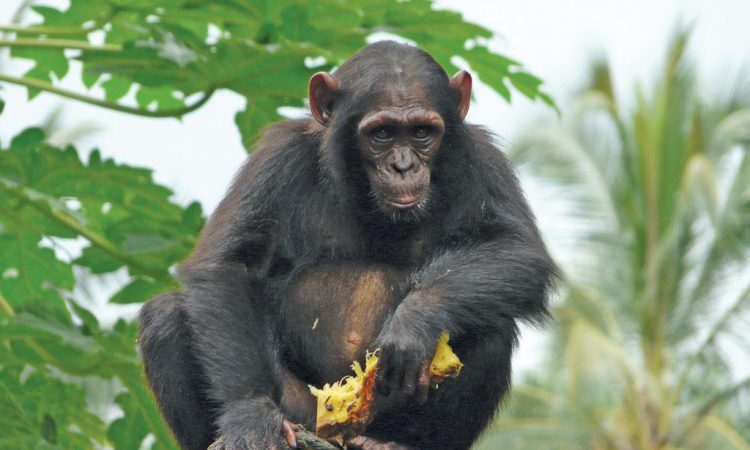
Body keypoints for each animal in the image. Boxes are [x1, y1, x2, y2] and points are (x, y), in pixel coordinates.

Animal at [138, 42, 560, 450]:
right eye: (382, 133)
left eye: (422, 132)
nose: (403, 166)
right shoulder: (275, 158)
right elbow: (230, 265)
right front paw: (250, 415)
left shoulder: (483, 159)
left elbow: (516, 250)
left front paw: (415, 320)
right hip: (302, 413)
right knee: (166, 315)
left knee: (492, 328)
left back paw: (393, 443)